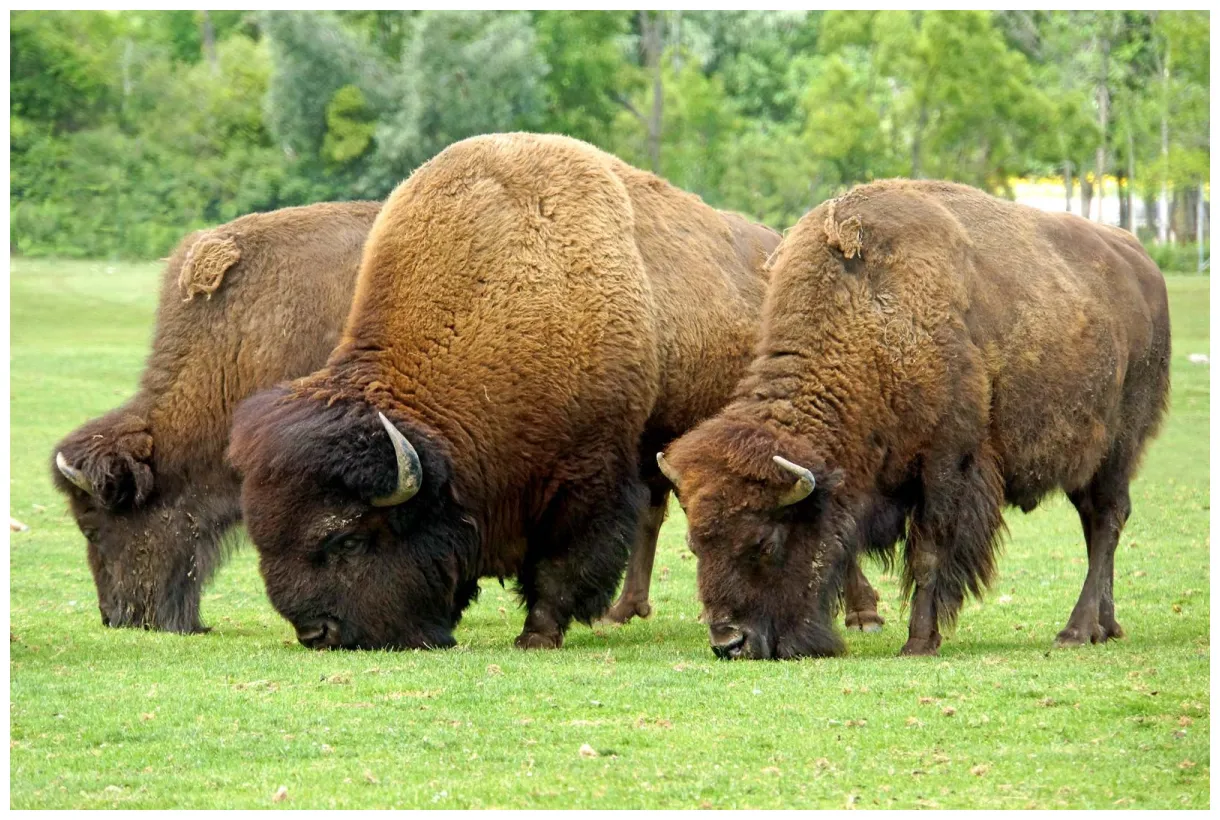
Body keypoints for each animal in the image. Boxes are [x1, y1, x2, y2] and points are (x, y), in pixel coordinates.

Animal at [659, 179, 1170, 659]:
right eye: (694, 544)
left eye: (765, 543)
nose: (729, 642)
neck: (870, 320)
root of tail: (1142, 264)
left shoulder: (945, 465)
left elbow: (928, 553)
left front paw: (920, 641)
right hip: (1087, 464)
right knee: (1094, 524)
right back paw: (1106, 626)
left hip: (1118, 449)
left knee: (1107, 521)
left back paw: (1075, 631)